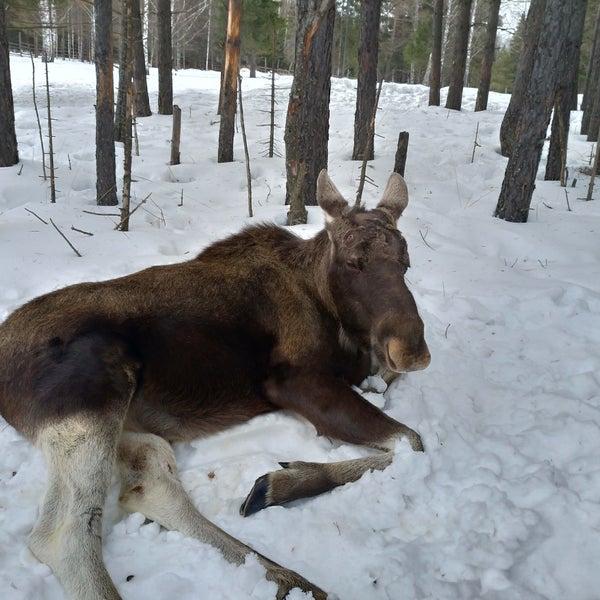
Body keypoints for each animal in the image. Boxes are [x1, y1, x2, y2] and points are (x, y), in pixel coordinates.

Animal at [0, 171, 432, 596]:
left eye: (406, 262)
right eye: (352, 262)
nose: (412, 350)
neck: (329, 307)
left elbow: (390, 396)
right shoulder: (291, 380)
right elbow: (411, 440)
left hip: (125, 424)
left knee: (149, 480)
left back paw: (286, 573)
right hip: (91, 399)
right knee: (63, 536)